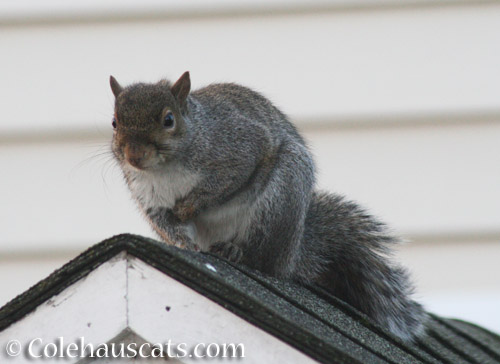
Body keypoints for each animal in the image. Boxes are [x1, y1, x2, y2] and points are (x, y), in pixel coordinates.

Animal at [108, 72, 426, 342]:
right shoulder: (150, 199)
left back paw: (237, 251)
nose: (134, 156)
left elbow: (226, 181)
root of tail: (293, 255)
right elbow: (169, 225)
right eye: (114, 123)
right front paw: (187, 246)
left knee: (263, 258)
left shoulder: (237, 148)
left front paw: (189, 207)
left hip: (280, 199)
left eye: (168, 120)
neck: (165, 168)